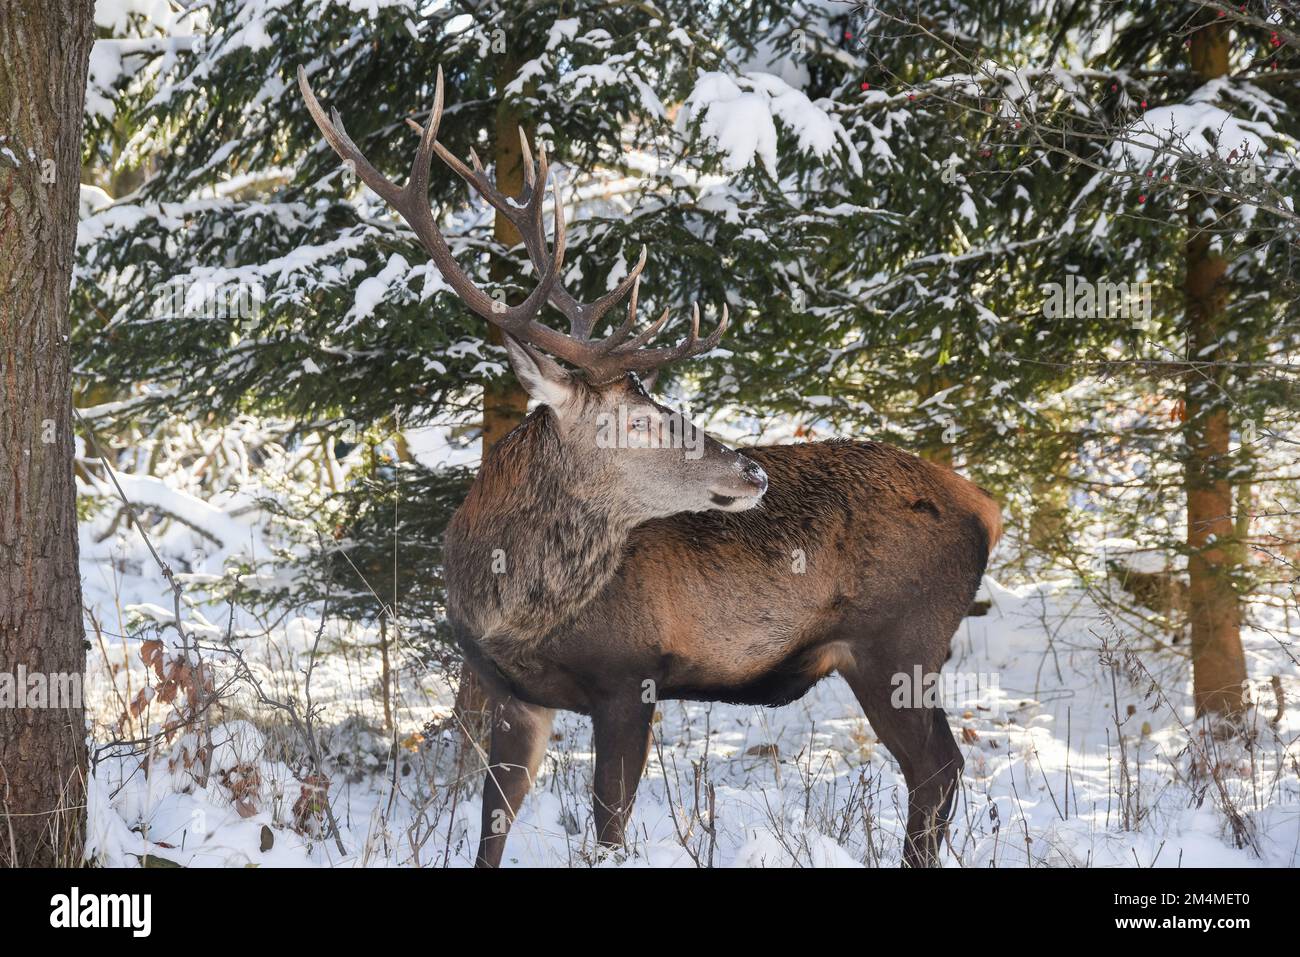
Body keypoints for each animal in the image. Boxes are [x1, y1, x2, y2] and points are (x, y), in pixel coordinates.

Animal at [299, 59, 998, 868]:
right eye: (637, 416)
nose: (753, 473)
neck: (511, 609)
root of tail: (988, 507)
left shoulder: (630, 676)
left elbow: (607, 829)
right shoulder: (509, 691)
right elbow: (491, 827)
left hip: (900, 642)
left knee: (938, 771)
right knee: (939, 773)